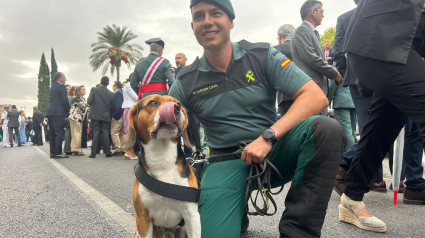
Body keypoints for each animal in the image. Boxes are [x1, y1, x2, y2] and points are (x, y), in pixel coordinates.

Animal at [124, 95, 200, 238]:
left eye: (178, 103)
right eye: (153, 102)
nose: (176, 108)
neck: (162, 160)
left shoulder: (192, 215)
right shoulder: (143, 218)